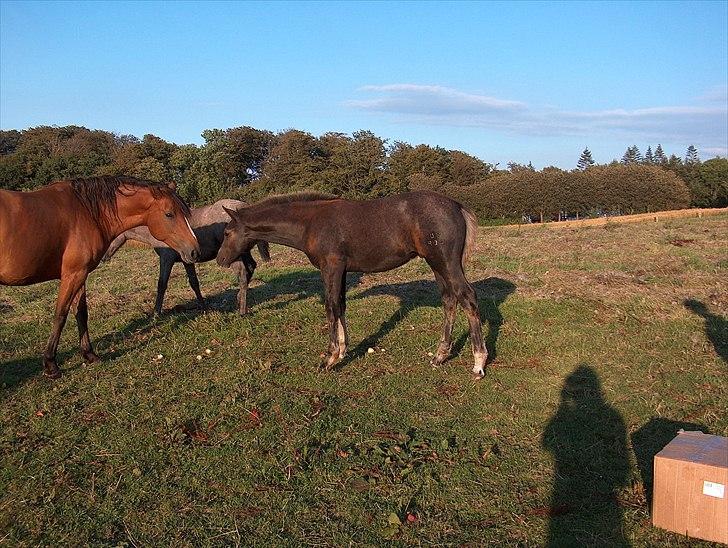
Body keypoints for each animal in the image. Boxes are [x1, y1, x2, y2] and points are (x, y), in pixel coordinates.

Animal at [0, 176, 199, 376]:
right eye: (169, 214)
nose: (194, 251)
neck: (86, 211)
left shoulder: (80, 274)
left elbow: (81, 313)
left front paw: (89, 354)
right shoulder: (74, 274)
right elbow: (61, 314)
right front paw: (51, 364)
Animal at [102, 199, 270, 314]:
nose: (102, 257)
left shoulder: (166, 259)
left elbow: (161, 284)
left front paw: (156, 312)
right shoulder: (187, 260)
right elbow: (194, 283)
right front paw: (203, 307)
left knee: (242, 273)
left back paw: (242, 309)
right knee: (250, 268)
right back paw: (239, 299)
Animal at [216, 192, 490, 376]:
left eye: (227, 233)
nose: (220, 260)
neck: (310, 222)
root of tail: (456, 206)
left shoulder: (331, 267)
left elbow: (330, 307)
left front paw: (330, 357)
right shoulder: (342, 270)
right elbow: (341, 304)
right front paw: (343, 349)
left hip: (445, 261)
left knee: (467, 297)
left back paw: (478, 362)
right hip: (437, 265)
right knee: (449, 299)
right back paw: (440, 355)